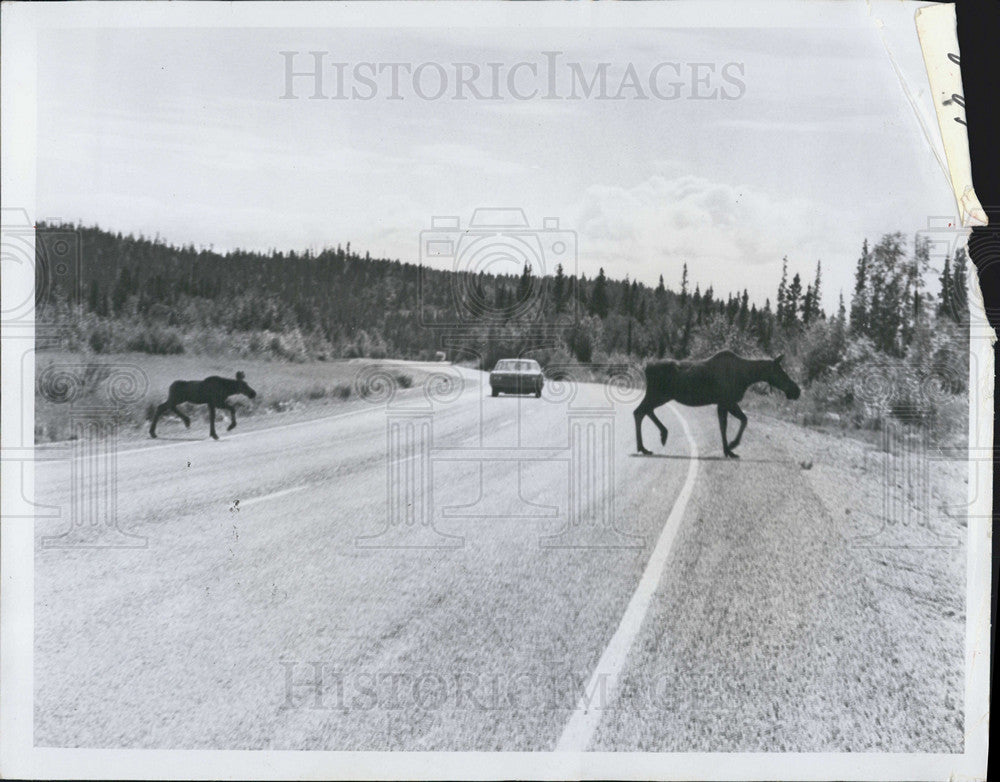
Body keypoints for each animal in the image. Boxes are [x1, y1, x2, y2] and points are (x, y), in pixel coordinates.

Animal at [636, 350, 800, 460]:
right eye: (782, 372)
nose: (796, 390)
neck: (747, 377)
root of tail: (646, 367)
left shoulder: (723, 403)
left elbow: (725, 425)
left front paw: (728, 450)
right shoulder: (727, 401)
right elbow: (742, 421)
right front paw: (732, 446)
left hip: (659, 396)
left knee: (644, 411)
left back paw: (657, 438)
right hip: (657, 395)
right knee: (639, 412)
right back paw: (646, 445)